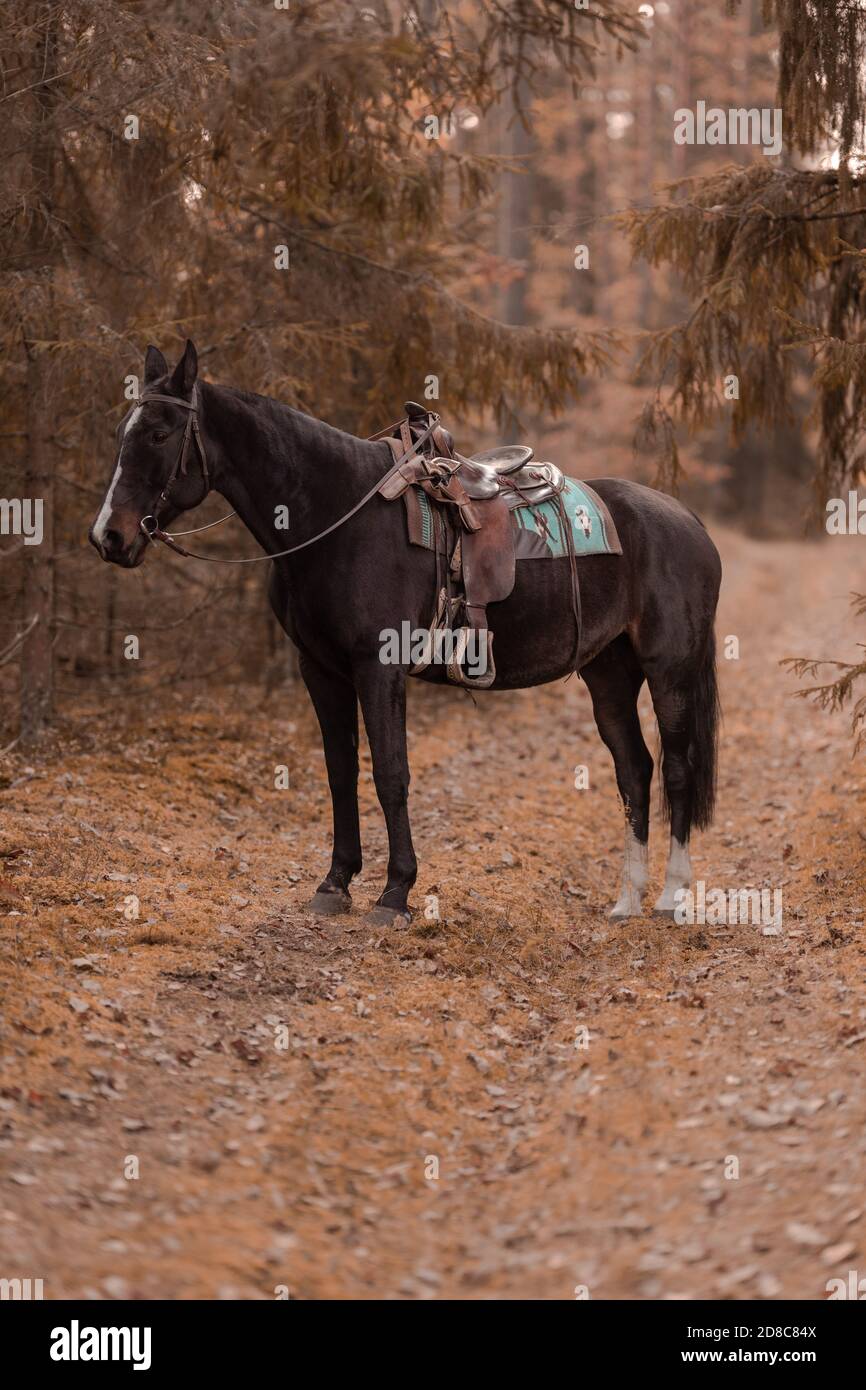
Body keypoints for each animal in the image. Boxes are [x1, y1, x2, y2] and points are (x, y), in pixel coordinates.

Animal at [90, 340, 722, 925]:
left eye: (160, 433)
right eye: (121, 432)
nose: (109, 537)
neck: (335, 516)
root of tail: (689, 522)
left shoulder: (379, 668)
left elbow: (391, 775)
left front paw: (395, 892)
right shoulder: (320, 671)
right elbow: (341, 773)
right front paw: (335, 883)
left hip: (669, 671)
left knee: (678, 768)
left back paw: (671, 896)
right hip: (608, 673)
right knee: (634, 770)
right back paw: (627, 899)